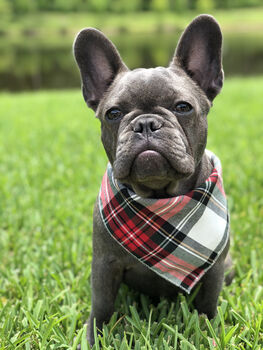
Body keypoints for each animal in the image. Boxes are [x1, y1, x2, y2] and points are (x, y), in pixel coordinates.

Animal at [73, 15, 233, 346]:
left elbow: (208, 303)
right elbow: (102, 305)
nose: (146, 123)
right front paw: (93, 337)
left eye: (183, 107)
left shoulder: (213, 271)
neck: (160, 198)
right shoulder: (104, 266)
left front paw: (209, 332)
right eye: (113, 113)